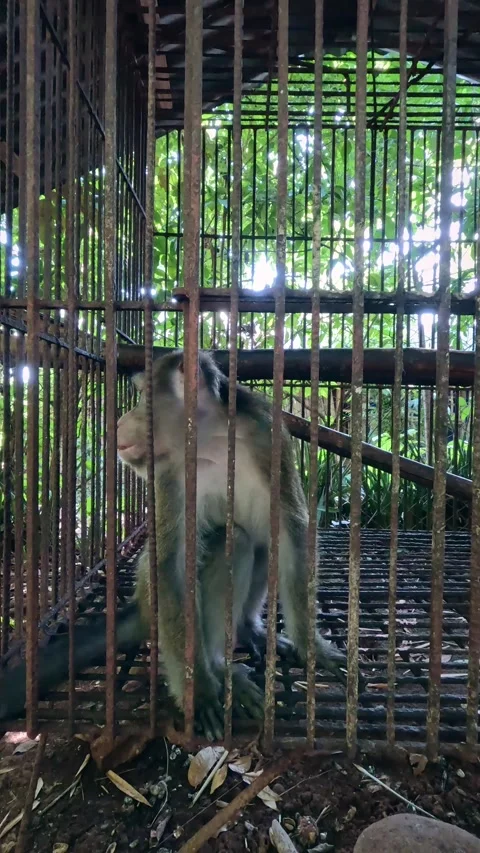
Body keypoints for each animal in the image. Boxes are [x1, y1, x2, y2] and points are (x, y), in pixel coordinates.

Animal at [0, 349, 354, 740]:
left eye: (143, 396)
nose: (120, 422)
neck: (211, 439)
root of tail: (138, 605)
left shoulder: (266, 436)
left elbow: (290, 532)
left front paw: (313, 647)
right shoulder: (170, 470)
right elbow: (172, 565)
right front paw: (198, 691)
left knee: (259, 541)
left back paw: (246, 628)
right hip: (152, 602)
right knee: (233, 541)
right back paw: (219, 668)